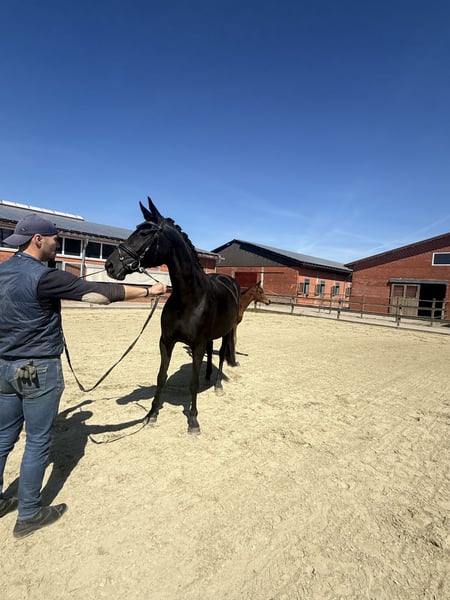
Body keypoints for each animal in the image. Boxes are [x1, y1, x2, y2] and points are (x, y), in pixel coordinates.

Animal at [105, 197, 240, 435]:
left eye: (144, 233)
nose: (110, 265)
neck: (190, 297)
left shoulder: (196, 344)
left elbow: (193, 383)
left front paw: (193, 421)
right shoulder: (166, 341)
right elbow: (161, 377)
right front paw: (151, 414)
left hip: (226, 333)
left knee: (222, 355)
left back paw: (217, 385)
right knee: (210, 354)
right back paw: (207, 376)